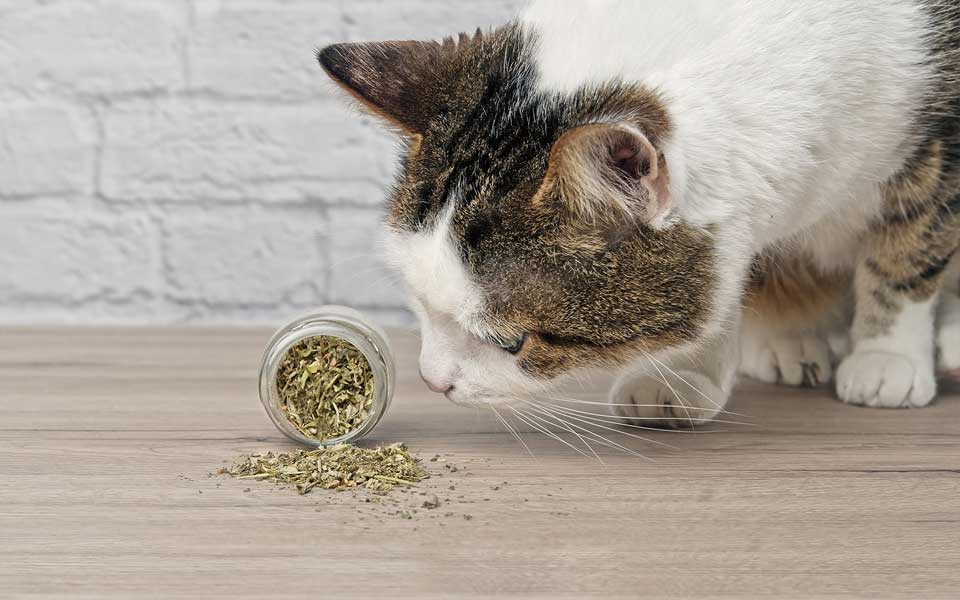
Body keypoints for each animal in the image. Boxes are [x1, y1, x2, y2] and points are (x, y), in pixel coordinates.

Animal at [320, 0, 960, 424]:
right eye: (416, 300)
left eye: (512, 342)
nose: (433, 382)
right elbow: (724, 279)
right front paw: (681, 374)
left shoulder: (936, 141)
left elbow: (909, 251)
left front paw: (886, 356)